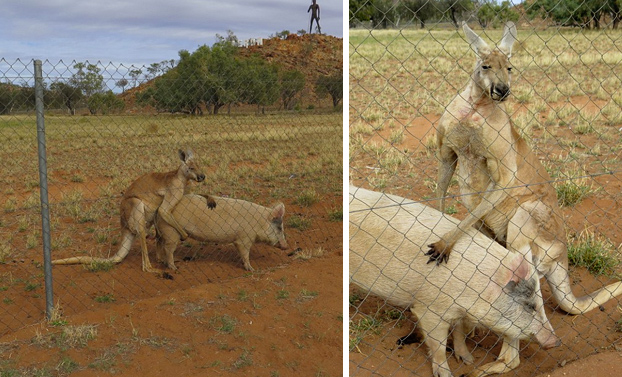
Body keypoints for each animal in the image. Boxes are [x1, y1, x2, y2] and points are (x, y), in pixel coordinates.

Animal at [158, 194, 290, 270]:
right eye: (279, 228)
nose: (286, 246)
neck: (259, 222)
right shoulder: (244, 238)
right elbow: (245, 253)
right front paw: (251, 269)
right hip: (171, 231)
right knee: (168, 248)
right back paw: (174, 267)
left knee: (159, 245)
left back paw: (162, 261)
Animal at [352, 186, 560, 376]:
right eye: (530, 305)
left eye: (540, 302)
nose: (554, 341)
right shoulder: (430, 309)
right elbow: (439, 345)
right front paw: (447, 373)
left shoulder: (460, 312)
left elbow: (459, 334)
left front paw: (468, 360)